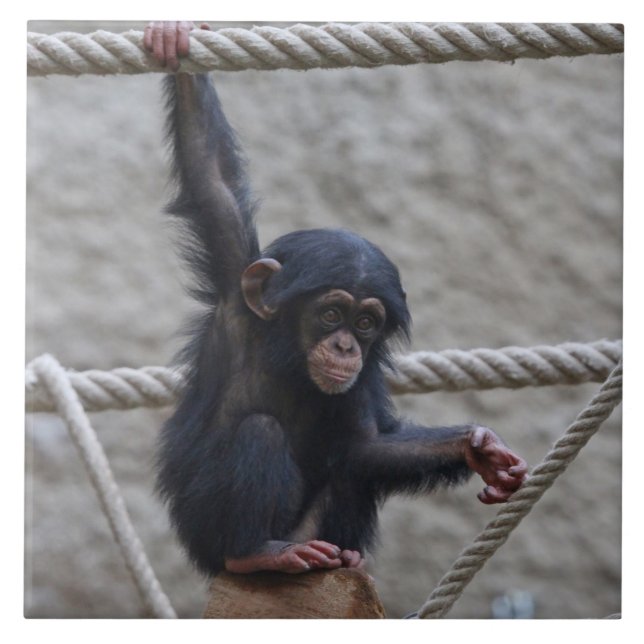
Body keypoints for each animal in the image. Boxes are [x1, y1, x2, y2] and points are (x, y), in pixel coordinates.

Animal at [144, 22, 528, 575]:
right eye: (329, 314)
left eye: (365, 324)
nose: (346, 346)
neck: (287, 355)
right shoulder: (235, 292)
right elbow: (210, 175)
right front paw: (178, 43)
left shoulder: (362, 381)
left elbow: (366, 446)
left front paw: (480, 450)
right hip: (208, 537)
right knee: (260, 432)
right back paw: (256, 554)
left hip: (315, 533)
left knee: (351, 469)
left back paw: (344, 557)